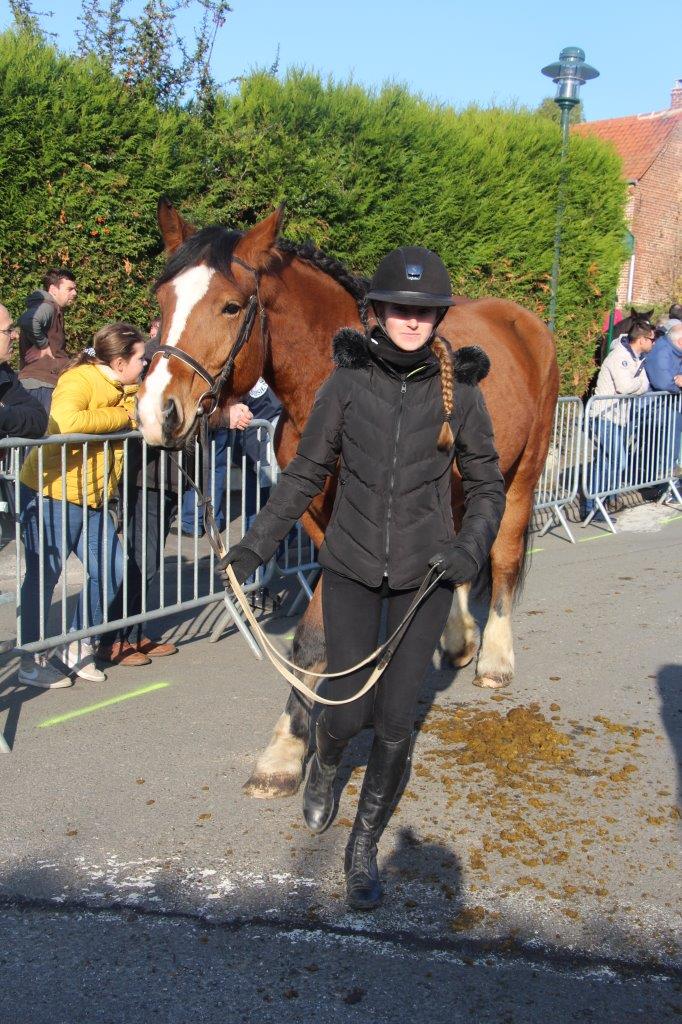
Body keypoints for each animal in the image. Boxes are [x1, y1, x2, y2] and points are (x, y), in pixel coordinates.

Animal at [135, 197, 557, 798]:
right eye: (162, 302)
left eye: (231, 306)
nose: (157, 411)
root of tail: (522, 321)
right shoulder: (320, 525)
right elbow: (322, 636)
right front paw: (290, 746)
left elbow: (312, 642)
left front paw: (283, 753)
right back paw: (458, 639)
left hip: (521, 473)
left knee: (501, 554)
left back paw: (495, 656)